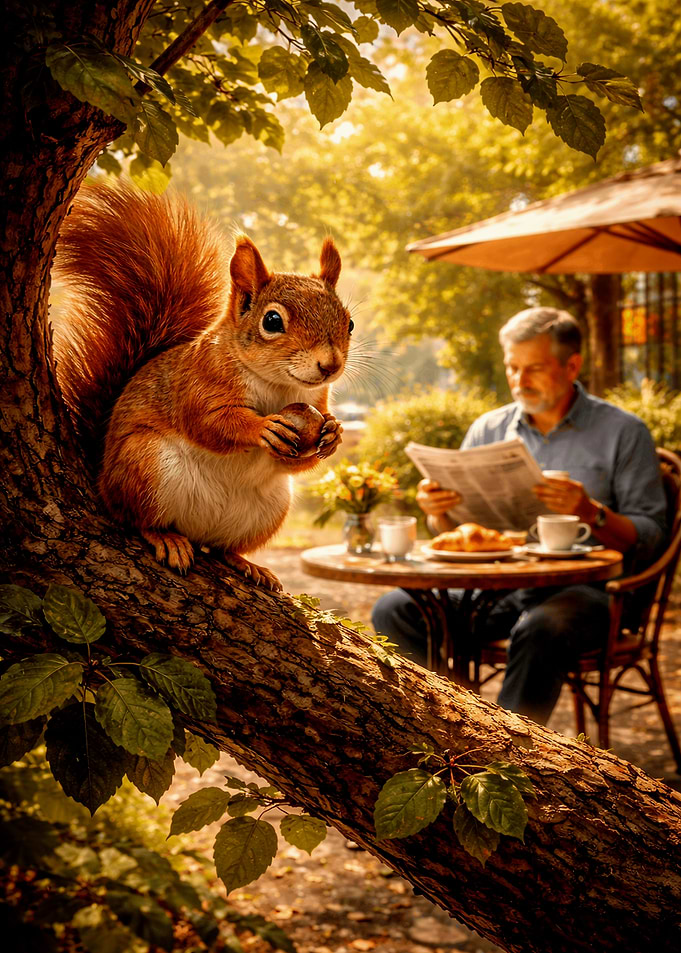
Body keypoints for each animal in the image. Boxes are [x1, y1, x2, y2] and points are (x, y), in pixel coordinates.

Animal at [51, 183, 352, 590]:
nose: (330, 365)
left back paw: (247, 563)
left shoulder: (317, 400)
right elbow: (209, 423)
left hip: (269, 510)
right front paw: (262, 427)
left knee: (223, 548)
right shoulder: (197, 382)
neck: (276, 385)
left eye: (349, 323)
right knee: (135, 519)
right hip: (143, 465)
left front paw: (333, 433)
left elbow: (296, 460)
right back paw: (167, 538)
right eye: (272, 321)